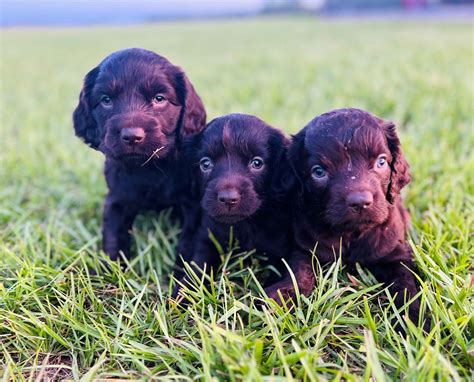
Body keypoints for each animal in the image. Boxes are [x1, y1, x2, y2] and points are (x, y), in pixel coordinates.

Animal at [73, 48, 206, 260]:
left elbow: (187, 243)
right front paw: (109, 268)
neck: (148, 167)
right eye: (106, 100)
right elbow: (113, 238)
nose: (132, 137)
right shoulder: (117, 200)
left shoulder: (193, 206)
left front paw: (181, 270)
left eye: (159, 98)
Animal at [174, 113, 292, 296]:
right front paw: (181, 296)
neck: (243, 224)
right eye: (205, 163)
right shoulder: (207, 238)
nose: (228, 199)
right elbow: (197, 270)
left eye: (257, 163)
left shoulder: (279, 250)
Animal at [266, 107, 430, 328]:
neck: (352, 233)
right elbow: (300, 272)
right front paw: (282, 296)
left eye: (381, 162)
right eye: (319, 171)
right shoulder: (305, 248)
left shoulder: (396, 253)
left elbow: (405, 284)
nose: (360, 202)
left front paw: (415, 318)